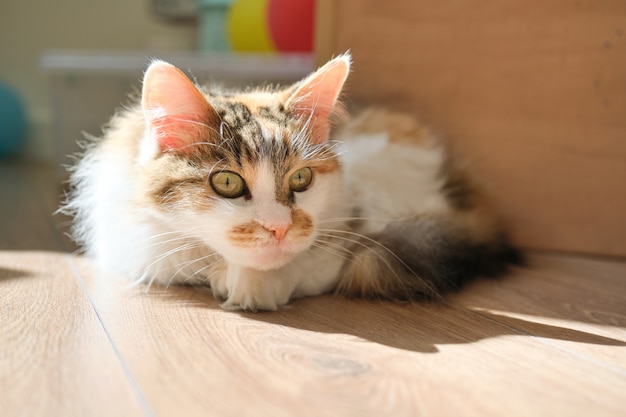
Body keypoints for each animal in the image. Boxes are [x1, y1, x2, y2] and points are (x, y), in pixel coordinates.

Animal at [63, 53, 520, 310]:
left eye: (301, 178)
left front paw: (252, 286)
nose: (279, 228)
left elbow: (320, 262)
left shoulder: (348, 228)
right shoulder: (134, 242)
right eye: (226, 184)